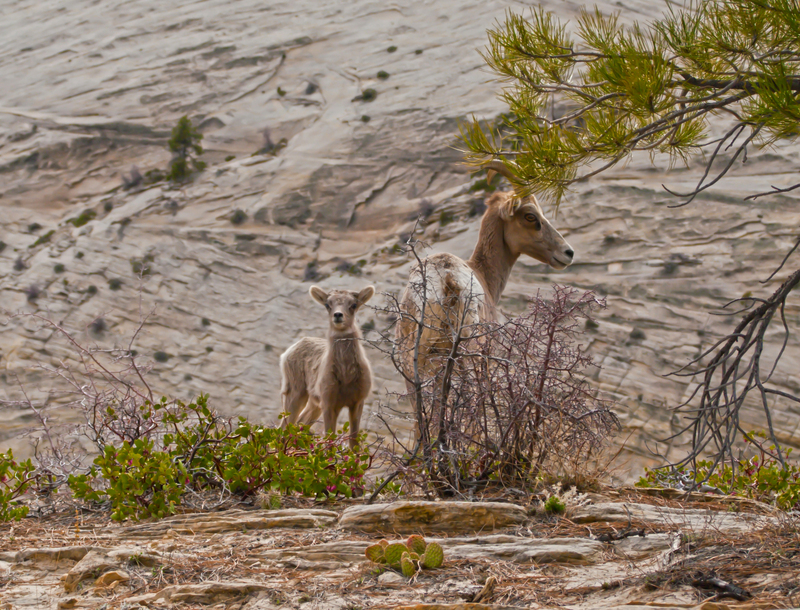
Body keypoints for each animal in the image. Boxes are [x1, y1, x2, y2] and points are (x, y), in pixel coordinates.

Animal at [278, 284, 376, 446]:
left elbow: (354, 443)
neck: (346, 376)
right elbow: (330, 441)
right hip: (295, 391)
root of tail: (285, 355)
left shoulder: (358, 401)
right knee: (283, 429)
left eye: (353, 305)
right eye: (327, 304)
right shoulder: (329, 402)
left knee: (298, 425)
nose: (338, 315)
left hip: (313, 402)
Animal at [396, 158, 572, 376]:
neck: (483, 274)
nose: (568, 253)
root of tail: (447, 279)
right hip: (470, 356)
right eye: (530, 216)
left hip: (412, 362)